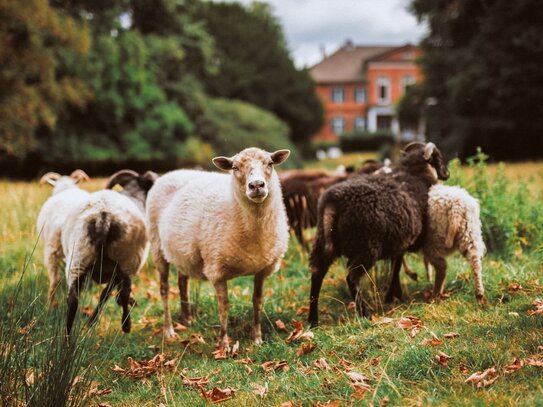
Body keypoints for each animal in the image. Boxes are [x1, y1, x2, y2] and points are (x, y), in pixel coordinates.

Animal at [144, 147, 288, 348]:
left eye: (270, 163)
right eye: (235, 167)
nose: (256, 185)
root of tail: (168, 174)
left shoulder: (263, 268)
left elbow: (257, 301)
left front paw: (257, 339)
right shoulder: (217, 269)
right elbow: (224, 306)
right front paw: (224, 344)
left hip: (183, 252)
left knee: (182, 281)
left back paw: (187, 319)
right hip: (157, 246)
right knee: (164, 289)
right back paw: (169, 329)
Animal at [310, 142, 450, 326]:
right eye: (438, 157)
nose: (447, 173)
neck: (415, 174)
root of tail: (333, 201)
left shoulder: (400, 240)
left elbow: (396, 264)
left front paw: (395, 293)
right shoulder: (403, 240)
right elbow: (396, 266)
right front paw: (392, 295)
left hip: (324, 242)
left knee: (317, 274)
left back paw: (313, 319)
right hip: (367, 247)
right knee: (351, 278)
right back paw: (364, 313)